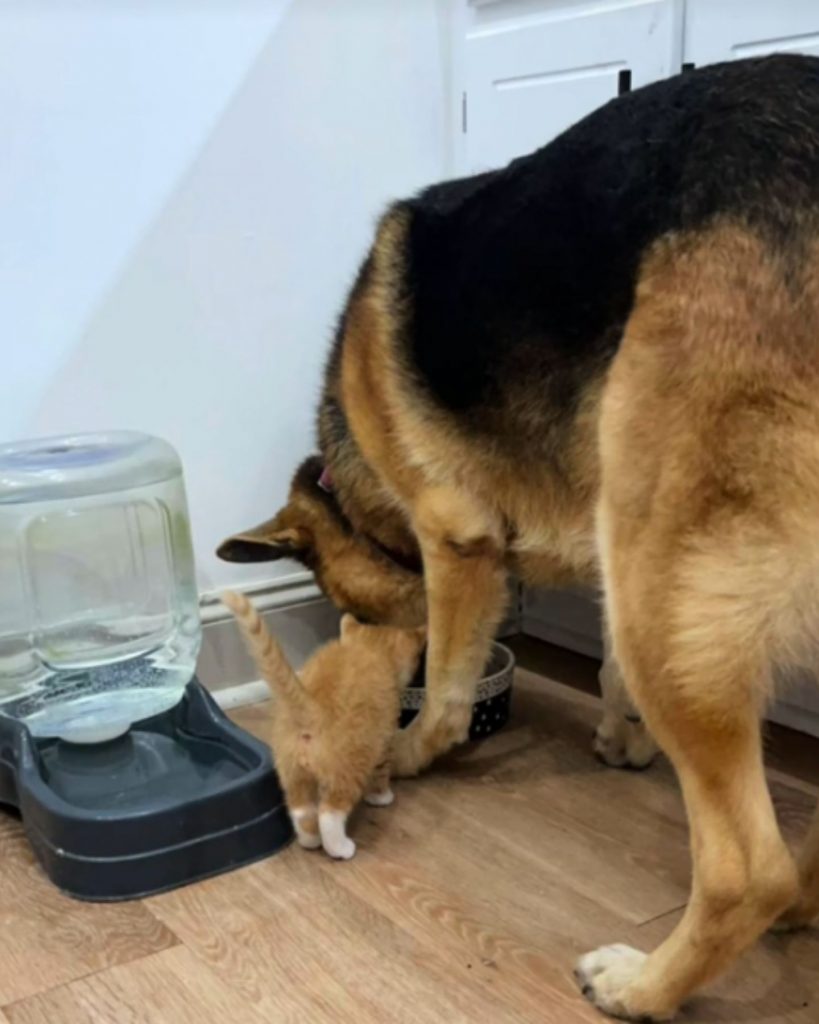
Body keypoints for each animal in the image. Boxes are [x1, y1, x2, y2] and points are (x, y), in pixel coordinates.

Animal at [221, 589, 425, 860]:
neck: (367, 648)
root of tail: (312, 708)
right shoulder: (383, 741)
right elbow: (381, 772)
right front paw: (381, 797)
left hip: (292, 772)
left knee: (302, 811)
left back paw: (310, 841)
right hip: (348, 770)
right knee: (329, 813)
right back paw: (340, 848)